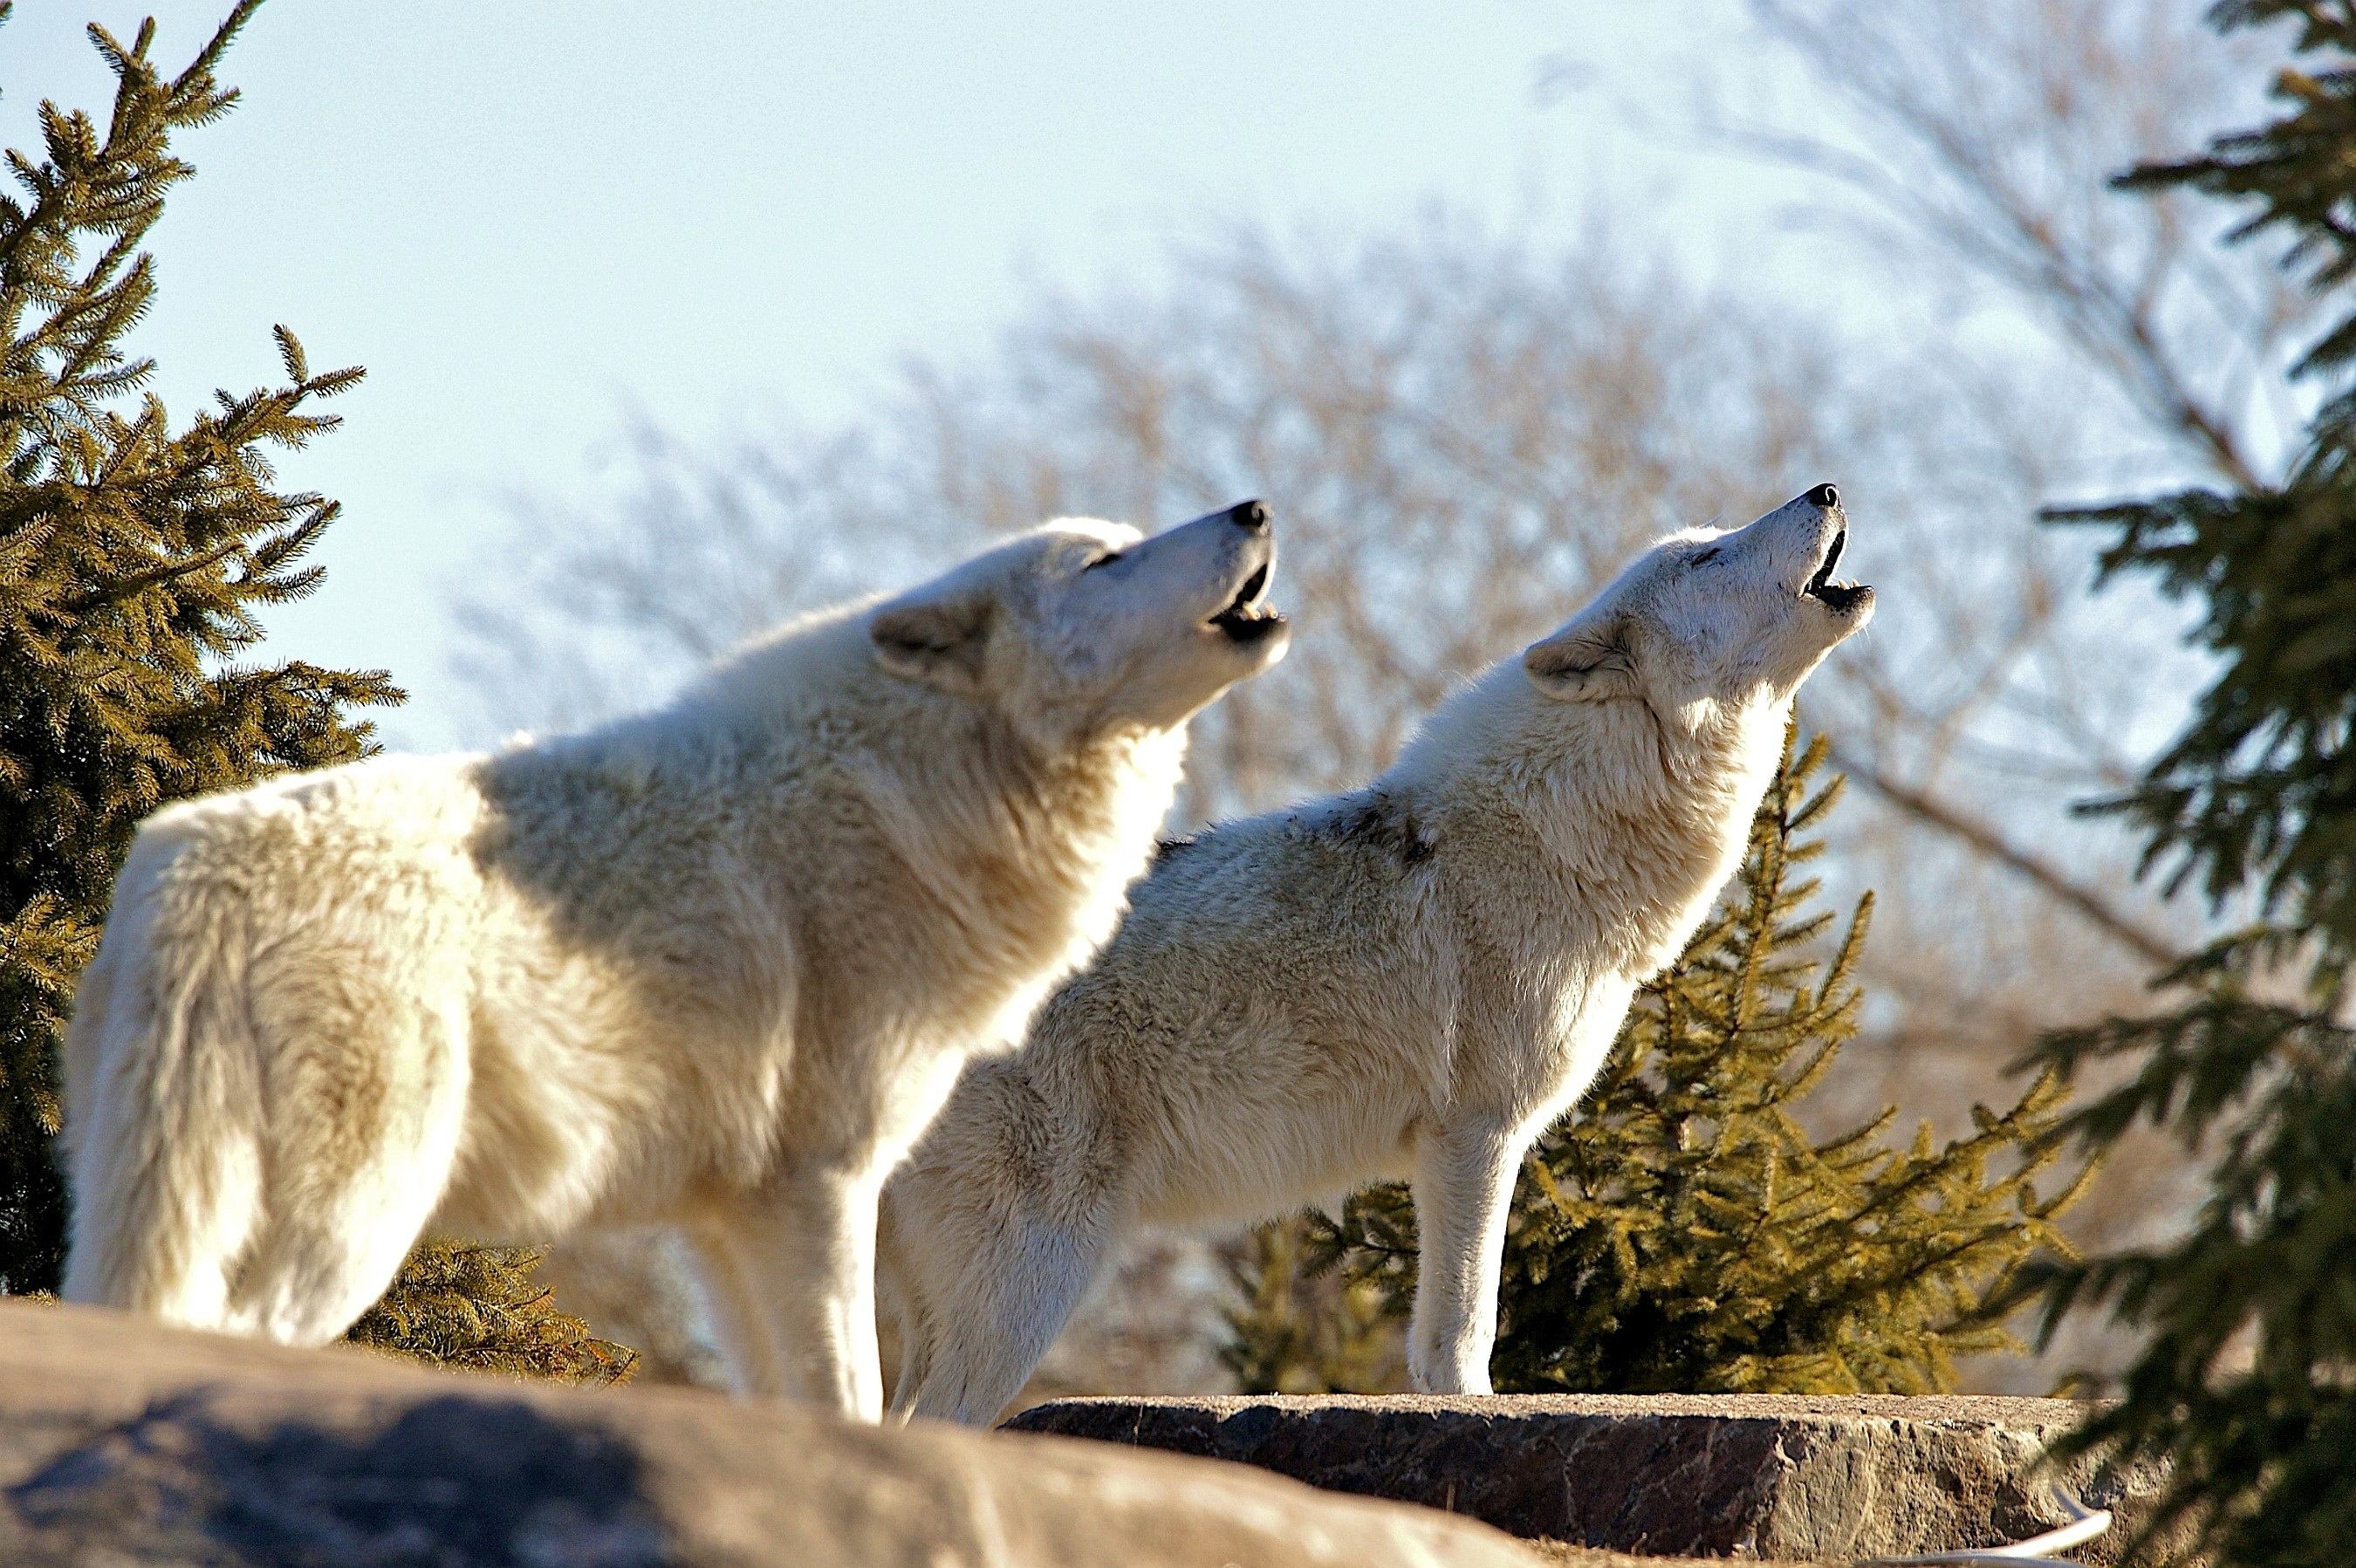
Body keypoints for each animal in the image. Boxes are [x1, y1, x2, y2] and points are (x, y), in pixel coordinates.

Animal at [55, 501, 1291, 1412]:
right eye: (1108, 559)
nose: (1255, 507)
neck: (903, 798)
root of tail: (185, 873)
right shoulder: (821, 1189)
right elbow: (849, 1401)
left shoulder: (726, 1224)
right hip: (350, 1228)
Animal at [880, 480, 1875, 1412]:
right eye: (1707, 558)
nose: (1827, 489)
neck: (1554, 832)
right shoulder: (1476, 1133)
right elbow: (1466, 1327)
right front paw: (1475, 1412)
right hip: (1033, 1279)